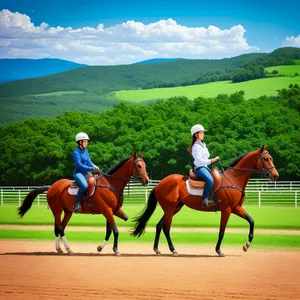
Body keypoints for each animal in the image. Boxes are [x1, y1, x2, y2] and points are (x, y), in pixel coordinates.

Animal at [18, 154, 149, 254]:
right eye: (138, 166)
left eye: (145, 165)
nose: (147, 181)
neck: (110, 184)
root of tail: (51, 187)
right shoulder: (107, 210)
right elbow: (115, 230)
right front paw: (116, 250)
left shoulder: (111, 211)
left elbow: (110, 230)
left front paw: (101, 247)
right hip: (57, 210)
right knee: (60, 228)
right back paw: (68, 249)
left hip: (68, 212)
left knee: (59, 228)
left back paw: (59, 248)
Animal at [131, 145, 278, 255]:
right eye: (266, 158)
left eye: (271, 158)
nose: (275, 175)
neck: (232, 179)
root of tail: (159, 184)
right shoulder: (227, 210)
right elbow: (222, 231)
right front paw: (218, 250)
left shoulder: (236, 208)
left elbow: (251, 221)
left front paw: (247, 245)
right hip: (170, 209)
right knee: (166, 228)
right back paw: (173, 250)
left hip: (174, 208)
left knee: (159, 225)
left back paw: (157, 249)